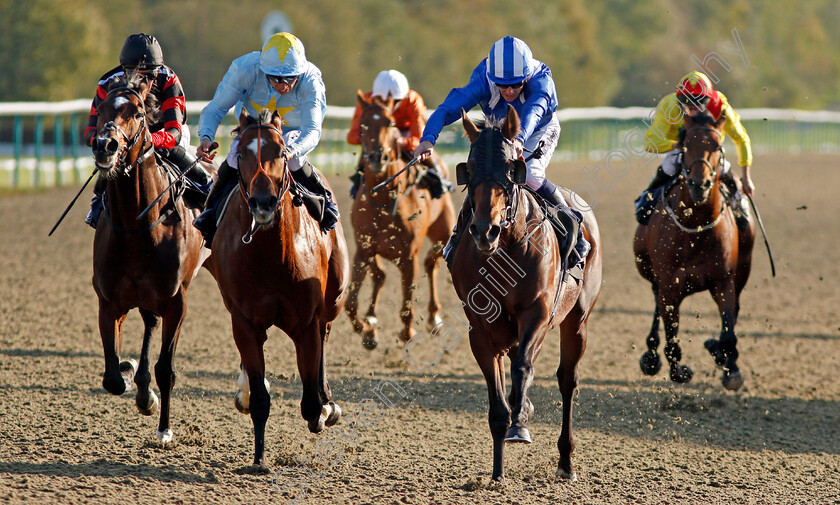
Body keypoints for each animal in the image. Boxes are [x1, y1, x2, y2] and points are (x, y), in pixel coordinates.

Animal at [88, 75, 212, 440]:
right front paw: (131, 375)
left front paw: (165, 430)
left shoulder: (176, 302)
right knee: (147, 325)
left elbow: (165, 368)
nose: (105, 145)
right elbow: (112, 377)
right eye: (101, 107)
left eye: (138, 112)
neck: (136, 226)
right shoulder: (108, 301)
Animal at [208, 108, 350, 462]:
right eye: (241, 154)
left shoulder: (306, 322)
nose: (263, 202)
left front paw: (323, 409)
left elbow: (310, 403)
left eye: (282, 153)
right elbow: (261, 397)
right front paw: (258, 458)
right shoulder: (244, 321)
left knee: (326, 333)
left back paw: (328, 402)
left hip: (334, 299)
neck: (272, 255)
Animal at [344, 92, 456, 348]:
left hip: (444, 228)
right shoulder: (363, 249)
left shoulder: (408, 257)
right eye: (363, 124)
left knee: (432, 263)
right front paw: (368, 331)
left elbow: (407, 305)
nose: (377, 157)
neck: (383, 199)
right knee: (380, 275)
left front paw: (407, 333)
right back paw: (371, 317)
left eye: (391, 123)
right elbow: (350, 304)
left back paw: (434, 317)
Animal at [450, 107, 600, 484]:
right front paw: (497, 473)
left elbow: (522, 369)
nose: (484, 230)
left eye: (510, 167)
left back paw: (566, 461)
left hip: (577, 321)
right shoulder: (481, 329)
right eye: (469, 168)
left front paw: (520, 423)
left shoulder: (537, 313)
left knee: (567, 380)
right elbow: (497, 403)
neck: (506, 247)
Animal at [632, 110, 756, 390]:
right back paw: (651, 355)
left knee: (736, 308)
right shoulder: (669, 284)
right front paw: (679, 370)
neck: (695, 229)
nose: (700, 184)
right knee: (657, 307)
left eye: (718, 146)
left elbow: (728, 330)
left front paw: (728, 364)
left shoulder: (724, 281)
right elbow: (671, 336)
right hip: (652, 273)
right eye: (686, 145)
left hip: (743, 270)